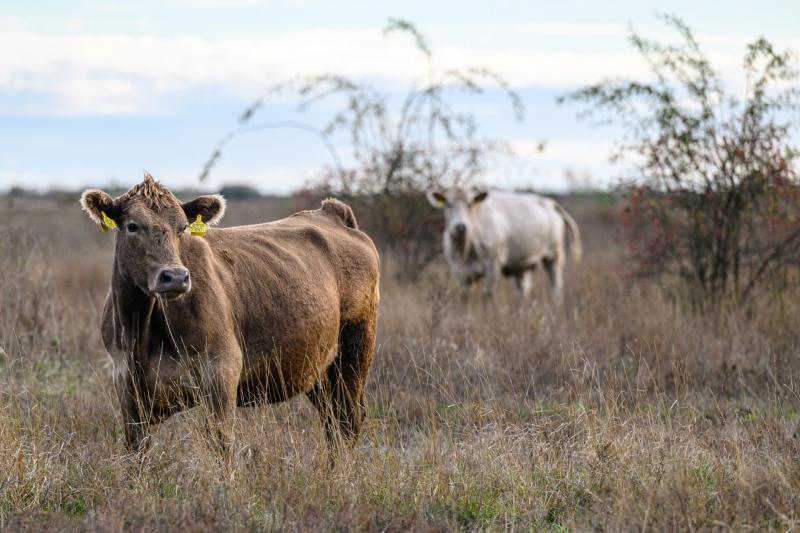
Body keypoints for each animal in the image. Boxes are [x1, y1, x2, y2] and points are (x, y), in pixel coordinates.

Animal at [79, 174, 380, 454]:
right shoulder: (127, 389)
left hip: (355, 350)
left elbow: (220, 446)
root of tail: (331, 212)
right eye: (132, 226)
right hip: (317, 367)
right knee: (331, 422)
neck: (139, 331)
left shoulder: (222, 372)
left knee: (347, 421)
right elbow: (136, 452)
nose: (175, 277)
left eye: (183, 228)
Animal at [424, 188, 580, 302]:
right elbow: (465, 296)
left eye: (470, 205)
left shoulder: (492, 267)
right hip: (522, 265)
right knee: (523, 290)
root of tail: (547, 202)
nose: (461, 227)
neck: (466, 249)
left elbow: (487, 295)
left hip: (554, 256)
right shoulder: (459, 272)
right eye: (448, 205)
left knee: (556, 285)